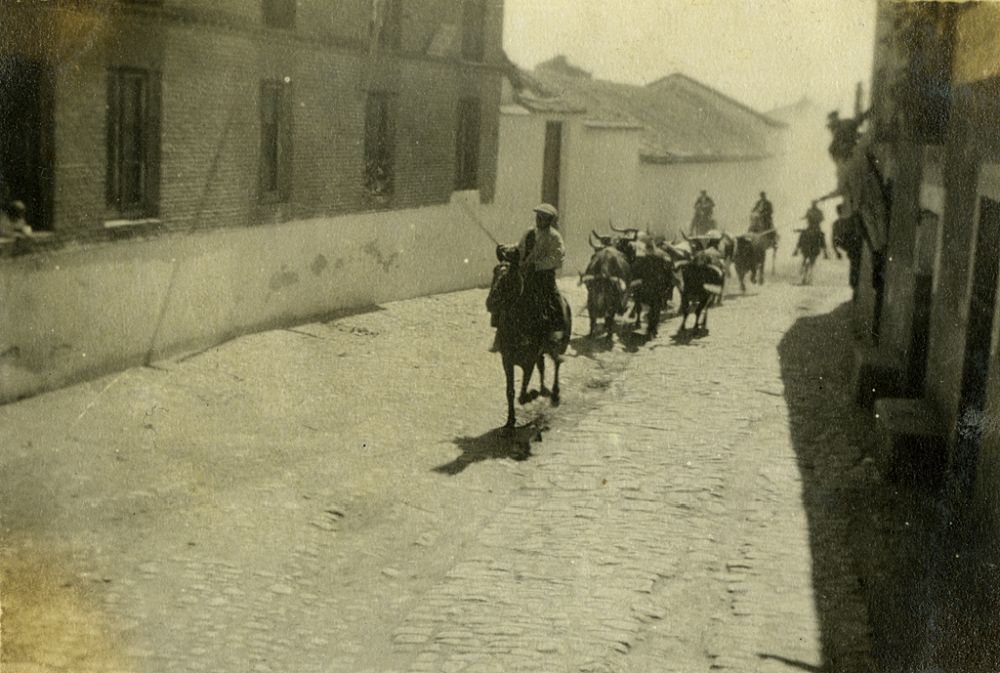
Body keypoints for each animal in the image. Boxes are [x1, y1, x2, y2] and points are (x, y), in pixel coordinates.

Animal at [488, 244, 576, 428]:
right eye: (494, 271)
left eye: (510, 276)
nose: (490, 303)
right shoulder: (507, 360)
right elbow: (511, 391)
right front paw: (510, 421)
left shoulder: (528, 360)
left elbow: (522, 393)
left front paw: (532, 394)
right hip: (542, 352)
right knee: (543, 366)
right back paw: (544, 390)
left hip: (558, 346)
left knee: (557, 362)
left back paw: (554, 394)